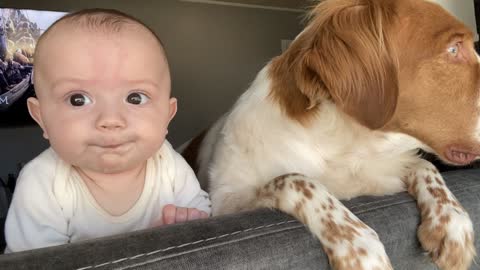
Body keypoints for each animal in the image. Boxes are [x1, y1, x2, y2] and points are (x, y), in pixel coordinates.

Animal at [183, 0, 476, 268]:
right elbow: (296, 179)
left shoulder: (386, 173)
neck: (343, 146)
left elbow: (425, 166)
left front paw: (454, 224)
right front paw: (359, 247)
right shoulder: (225, 203)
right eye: (453, 48)